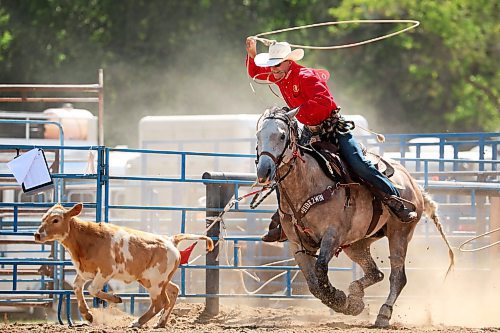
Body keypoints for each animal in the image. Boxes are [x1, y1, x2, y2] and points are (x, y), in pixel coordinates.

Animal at [34, 202, 214, 326]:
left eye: (56, 220)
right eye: (43, 218)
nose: (37, 235)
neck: (88, 239)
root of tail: (171, 240)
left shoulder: (106, 271)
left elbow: (92, 289)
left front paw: (116, 298)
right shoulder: (85, 272)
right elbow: (78, 288)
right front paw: (87, 315)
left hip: (154, 282)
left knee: (160, 302)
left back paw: (138, 322)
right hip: (155, 280)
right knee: (173, 291)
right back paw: (160, 322)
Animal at [256, 107, 456, 326]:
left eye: (282, 135)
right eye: (258, 136)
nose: (264, 170)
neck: (307, 184)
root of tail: (412, 182)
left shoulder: (332, 235)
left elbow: (320, 269)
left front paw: (338, 299)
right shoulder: (297, 244)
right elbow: (313, 285)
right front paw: (350, 304)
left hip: (399, 234)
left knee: (398, 277)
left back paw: (383, 314)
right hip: (356, 244)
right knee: (375, 272)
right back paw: (355, 295)